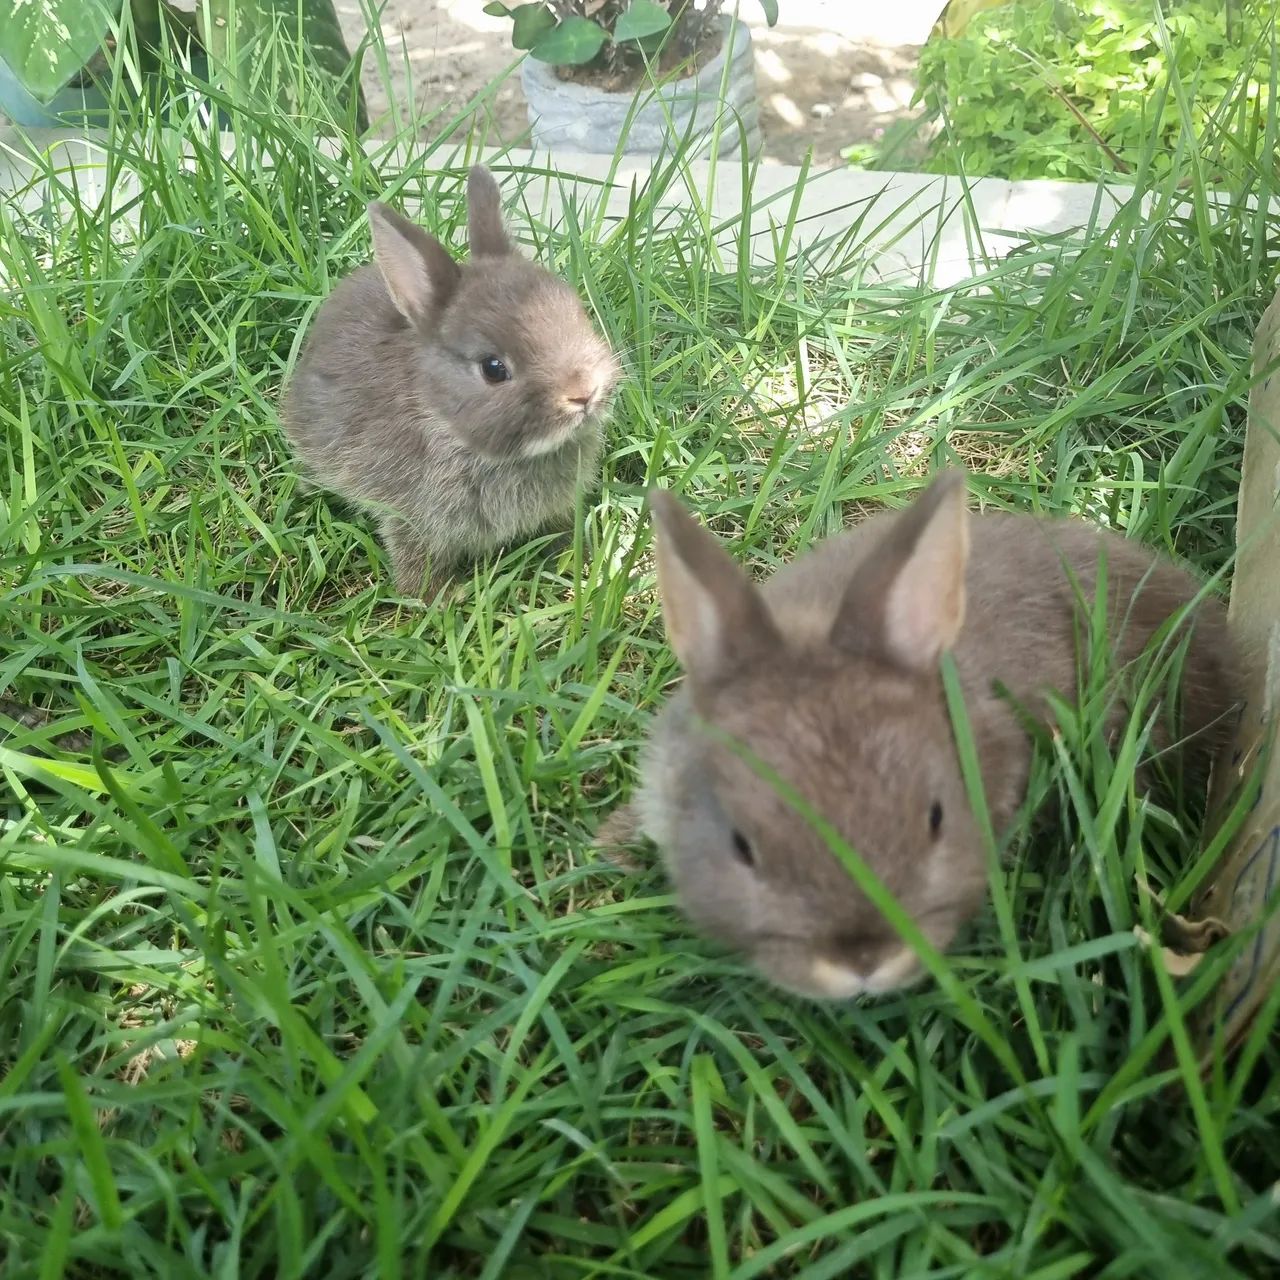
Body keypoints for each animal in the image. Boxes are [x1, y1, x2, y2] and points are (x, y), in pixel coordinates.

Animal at [281, 165, 620, 596]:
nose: (583, 392)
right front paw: (436, 599)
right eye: (493, 368)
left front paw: (576, 562)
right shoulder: (412, 519)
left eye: (576, 312)